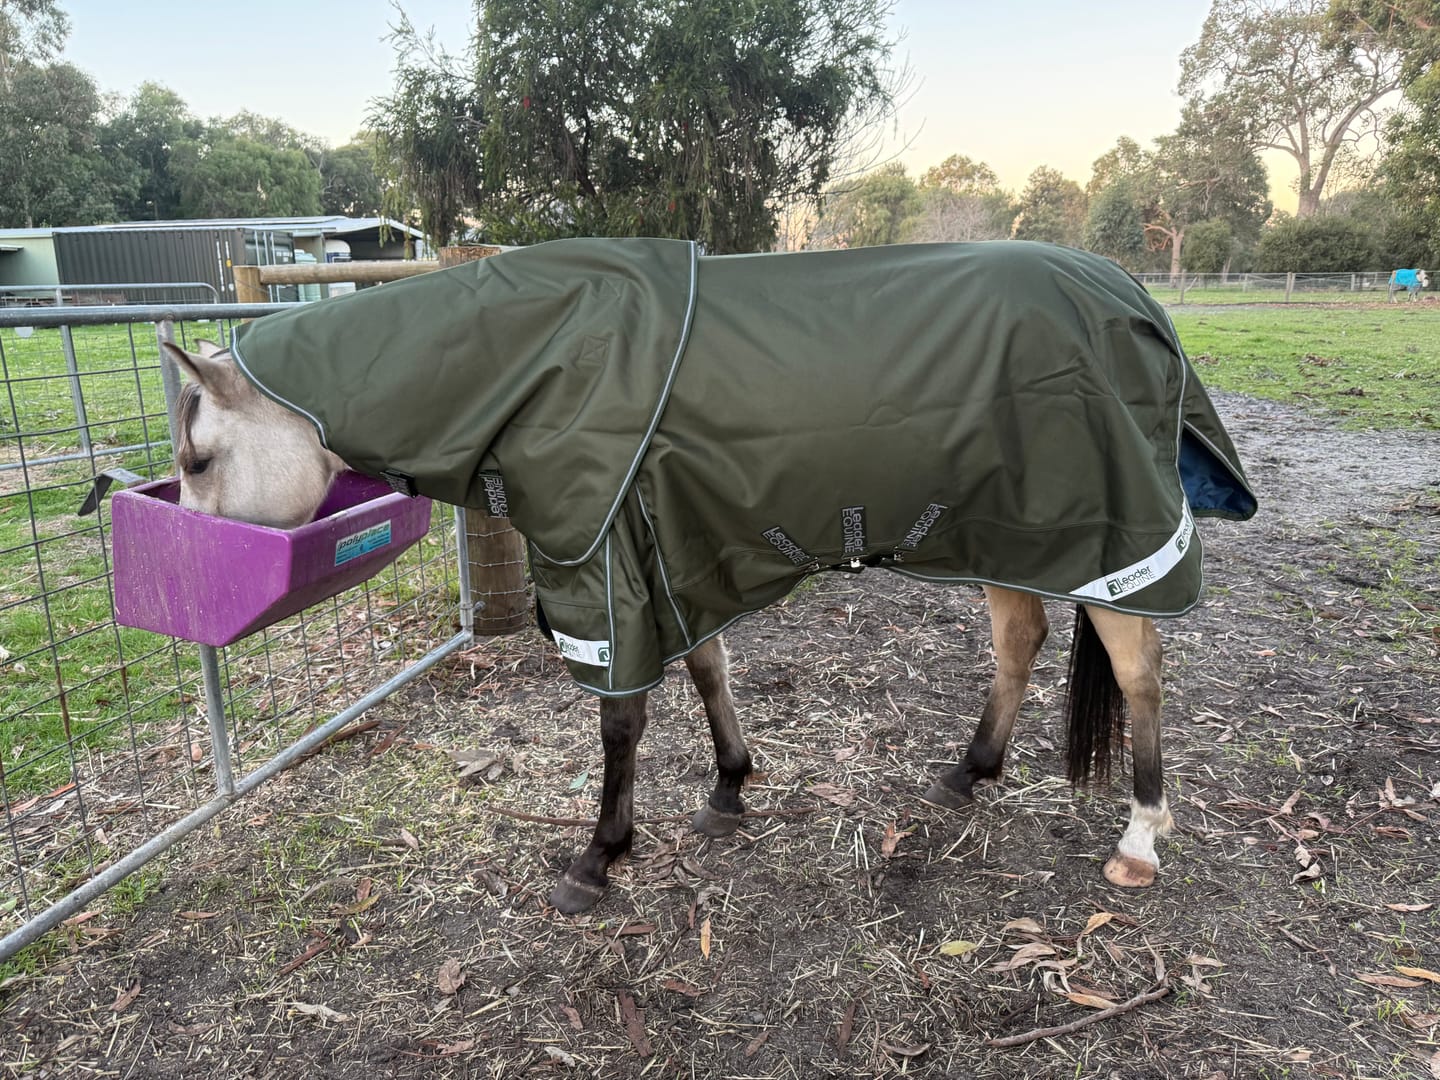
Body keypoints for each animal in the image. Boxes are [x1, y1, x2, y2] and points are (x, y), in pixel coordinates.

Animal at [159, 239, 1256, 915]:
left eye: (201, 458)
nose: (186, 590)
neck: (536, 359)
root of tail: (1133, 299)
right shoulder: (672, 552)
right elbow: (707, 670)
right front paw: (730, 786)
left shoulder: (607, 572)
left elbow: (623, 721)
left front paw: (598, 856)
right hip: (1008, 533)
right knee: (1021, 638)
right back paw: (967, 771)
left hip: (1106, 543)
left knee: (1139, 669)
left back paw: (1141, 837)